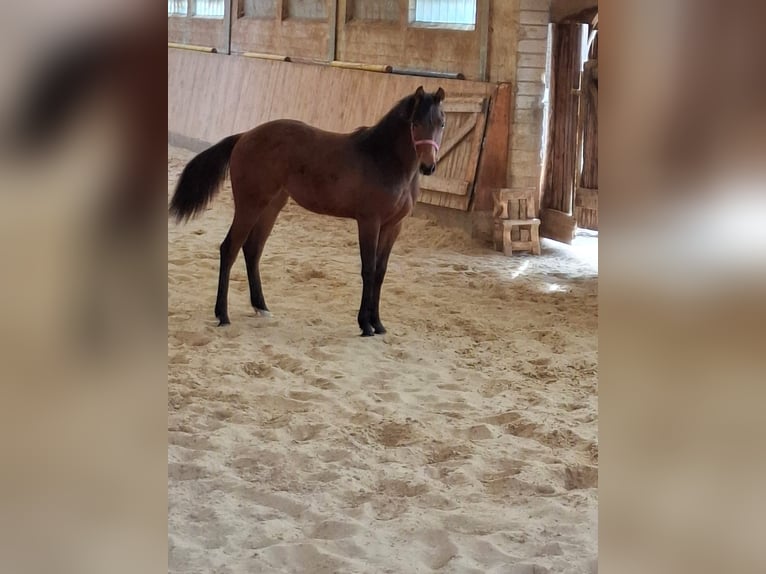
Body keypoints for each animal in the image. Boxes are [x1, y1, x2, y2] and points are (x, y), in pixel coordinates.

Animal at [169, 86, 446, 336]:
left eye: (441, 123)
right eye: (415, 123)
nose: (428, 166)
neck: (383, 159)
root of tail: (245, 135)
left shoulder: (393, 226)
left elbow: (380, 271)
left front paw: (378, 324)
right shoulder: (369, 222)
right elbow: (368, 269)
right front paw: (365, 325)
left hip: (271, 206)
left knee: (253, 249)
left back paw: (261, 307)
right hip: (250, 204)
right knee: (229, 248)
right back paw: (223, 315)